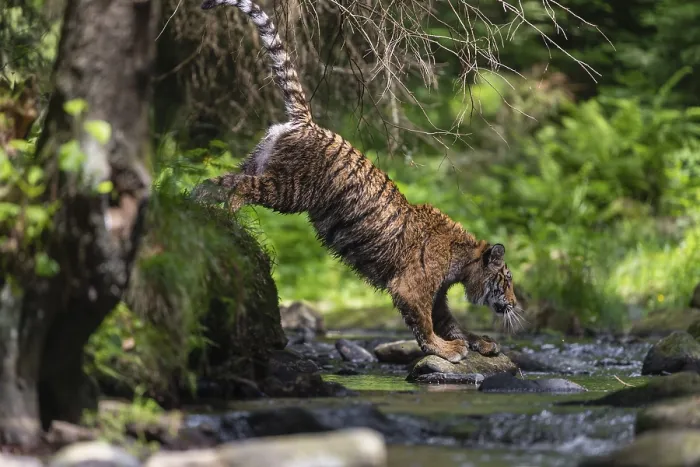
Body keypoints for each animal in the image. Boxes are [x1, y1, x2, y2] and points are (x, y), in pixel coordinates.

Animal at [195, 0, 520, 362]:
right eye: (506, 280)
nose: (514, 304)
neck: (464, 261)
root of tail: (306, 122)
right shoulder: (413, 287)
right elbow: (425, 323)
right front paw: (446, 349)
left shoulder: (438, 296)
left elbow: (451, 322)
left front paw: (479, 341)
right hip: (287, 189)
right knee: (239, 187)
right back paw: (226, 214)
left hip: (257, 164)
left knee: (218, 179)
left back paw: (195, 201)